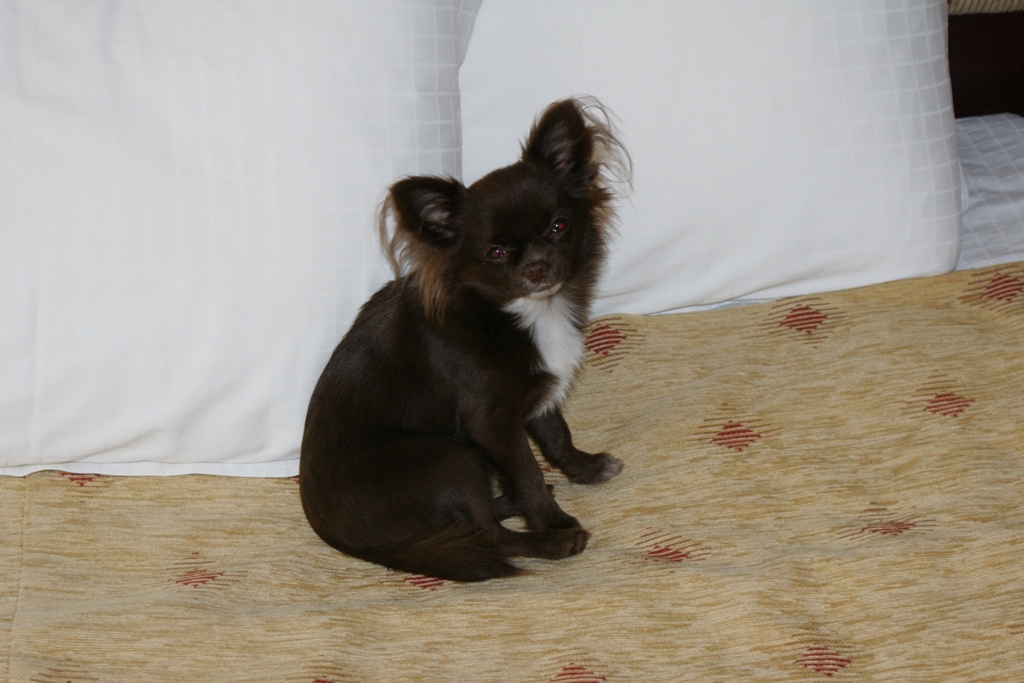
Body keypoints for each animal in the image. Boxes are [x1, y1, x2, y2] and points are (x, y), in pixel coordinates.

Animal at [299, 98, 630, 581]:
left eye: (559, 226)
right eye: (495, 252)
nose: (536, 266)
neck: (514, 313)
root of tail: (360, 547)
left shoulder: (535, 394)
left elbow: (556, 435)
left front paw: (584, 469)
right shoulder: (490, 421)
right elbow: (528, 471)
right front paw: (554, 521)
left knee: (477, 523)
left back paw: (507, 501)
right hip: (451, 457)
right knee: (488, 536)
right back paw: (548, 541)